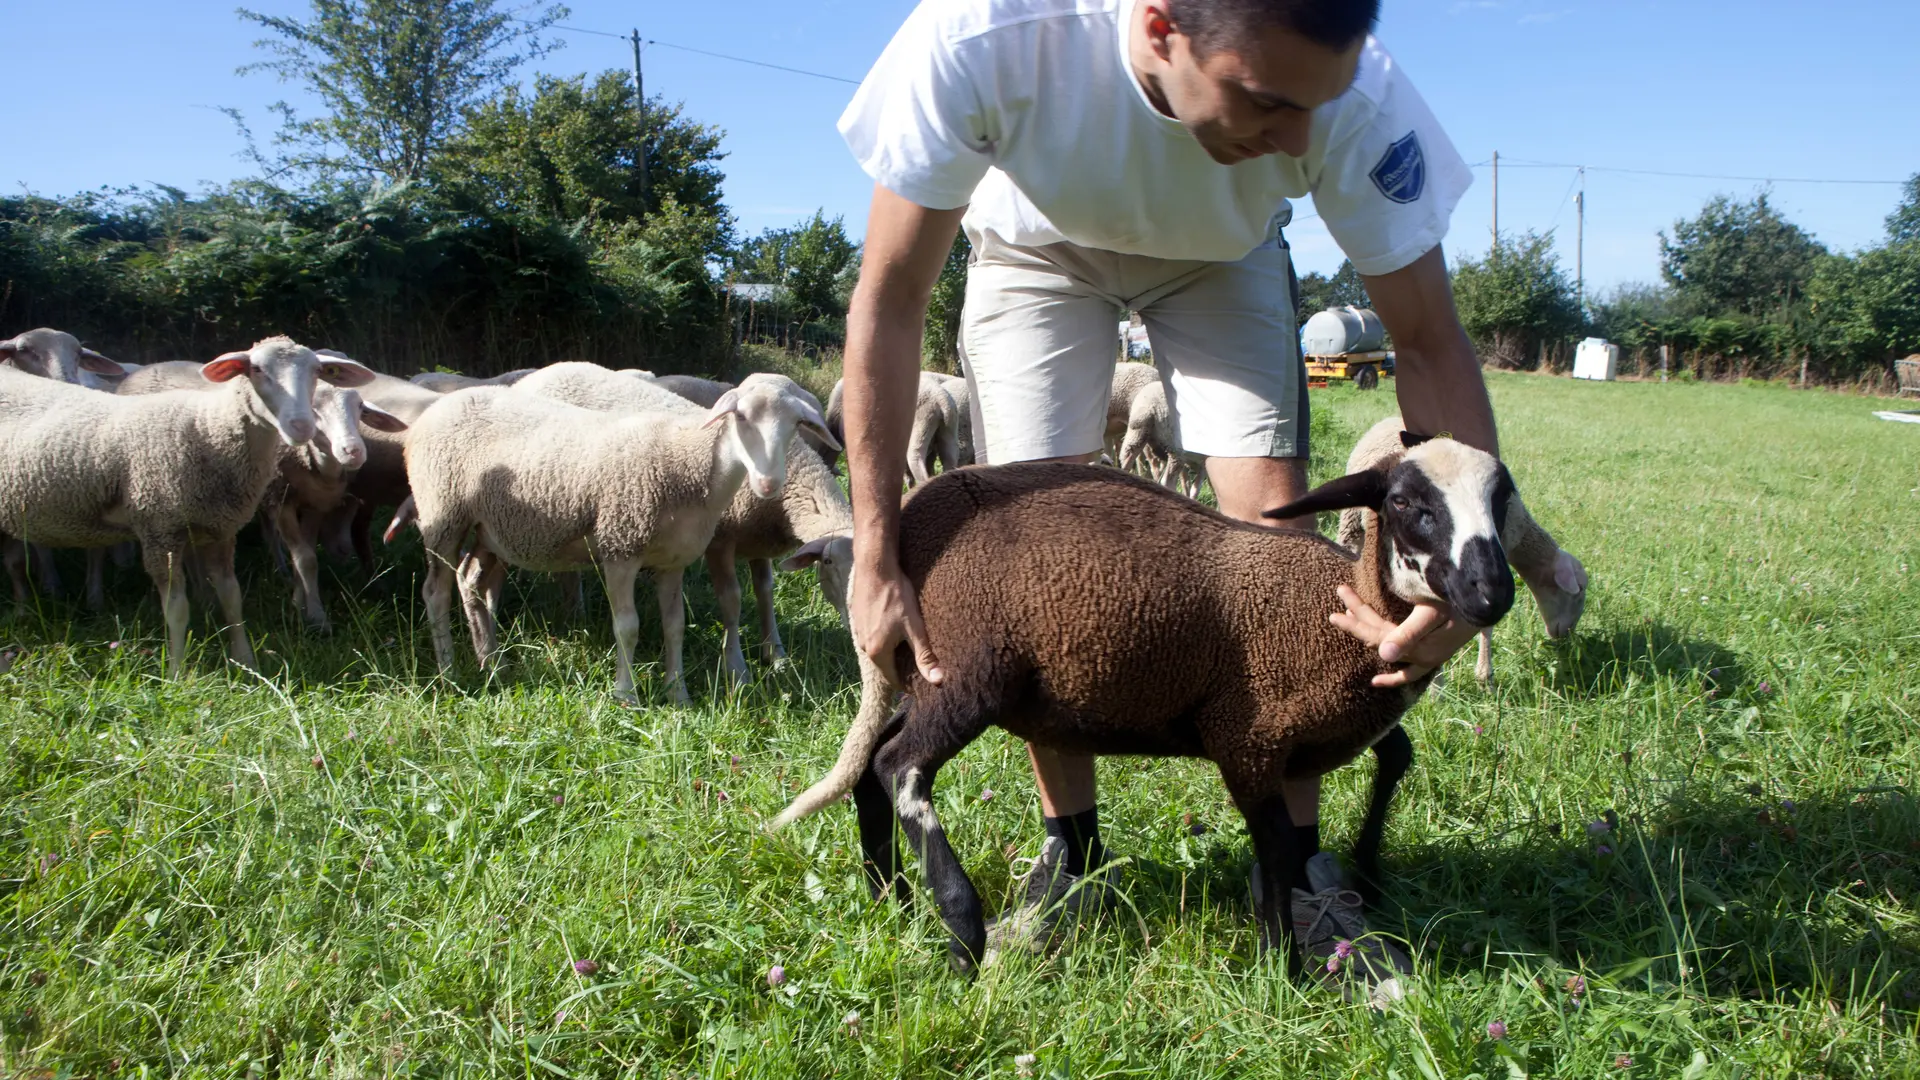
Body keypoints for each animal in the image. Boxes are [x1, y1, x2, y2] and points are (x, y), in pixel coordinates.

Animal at [0, 338, 374, 672]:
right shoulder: (159, 529)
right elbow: (176, 608)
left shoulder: (221, 526)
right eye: (255, 369)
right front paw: (177, 672)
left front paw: (246, 661)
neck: (206, 427)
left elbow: (232, 596)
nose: (301, 426)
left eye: (317, 371)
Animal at [405, 376, 833, 699]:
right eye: (740, 416)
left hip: (488, 527)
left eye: (796, 424)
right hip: (442, 513)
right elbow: (627, 627)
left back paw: (492, 662)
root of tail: (436, 409)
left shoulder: (673, 559)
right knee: (435, 591)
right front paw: (626, 696)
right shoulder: (620, 544)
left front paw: (677, 693)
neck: (688, 462)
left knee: (469, 580)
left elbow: (674, 624)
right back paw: (449, 671)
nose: (768, 484)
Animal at [775, 438, 1512, 968]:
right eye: (1408, 503)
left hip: (938, 679)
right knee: (900, 767)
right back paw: (961, 929)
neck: (1336, 609)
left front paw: (1367, 872)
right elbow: (1276, 848)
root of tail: (907, 520)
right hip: (969, 672)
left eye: (1503, 500)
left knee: (872, 762)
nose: (1491, 592)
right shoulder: (1248, 737)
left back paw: (891, 898)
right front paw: (1283, 969)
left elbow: (1396, 757)